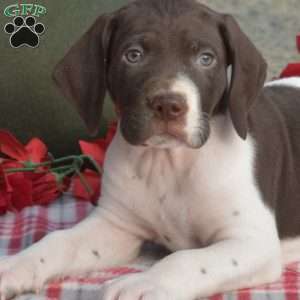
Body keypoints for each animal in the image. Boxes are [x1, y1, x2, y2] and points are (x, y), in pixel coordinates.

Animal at [0, 0, 300, 300]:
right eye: (133, 55)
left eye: (206, 58)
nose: (168, 105)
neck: (168, 162)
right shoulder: (116, 225)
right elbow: (58, 241)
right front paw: (15, 266)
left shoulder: (250, 241)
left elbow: (185, 259)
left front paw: (143, 282)